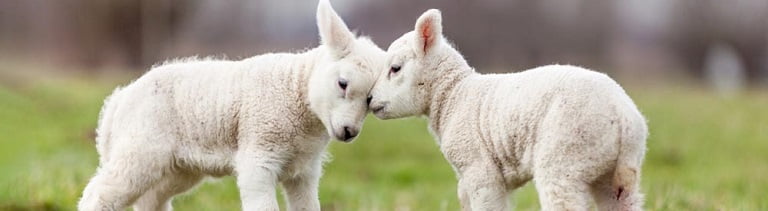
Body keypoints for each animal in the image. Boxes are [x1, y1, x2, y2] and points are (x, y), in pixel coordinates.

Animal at [78, 0, 384, 210]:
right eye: (343, 84)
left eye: (370, 101)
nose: (349, 132)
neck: (296, 91)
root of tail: (118, 101)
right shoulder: (259, 155)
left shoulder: (304, 171)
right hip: (140, 150)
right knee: (100, 194)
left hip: (178, 167)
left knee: (151, 199)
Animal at [368, 9, 644, 211]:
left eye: (395, 68)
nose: (369, 99)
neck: (453, 95)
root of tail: (623, 115)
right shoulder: (467, 180)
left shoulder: (479, 170)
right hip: (611, 175)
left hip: (565, 157)